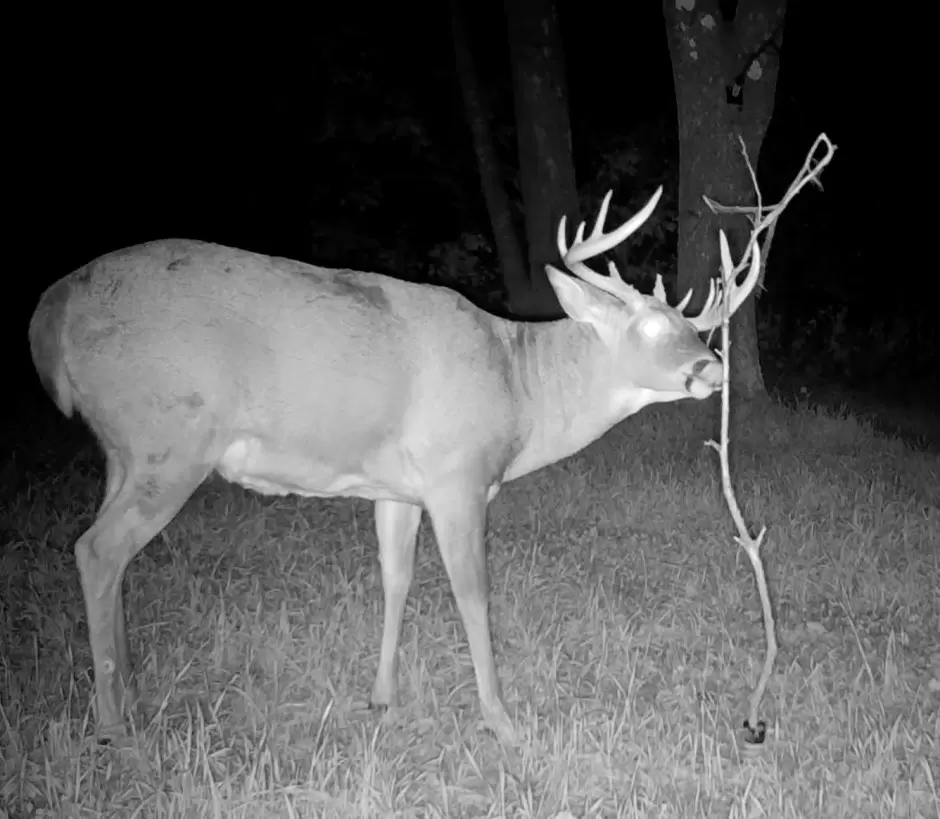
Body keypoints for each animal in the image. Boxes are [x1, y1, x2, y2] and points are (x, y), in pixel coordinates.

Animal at [28, 187, 759, 746]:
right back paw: (113, 724)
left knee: (107, 554)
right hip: (171, 438)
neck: (518, 385)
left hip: (124, 449)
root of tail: (51, 312)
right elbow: (473, 593)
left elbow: (395, 580)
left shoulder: (397, 489)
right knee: (96, 549)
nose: (713, 367)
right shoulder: (457, 474)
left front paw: (381, 697)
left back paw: (129, 687)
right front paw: (501, 722)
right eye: (650, 327)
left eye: (695, 327)